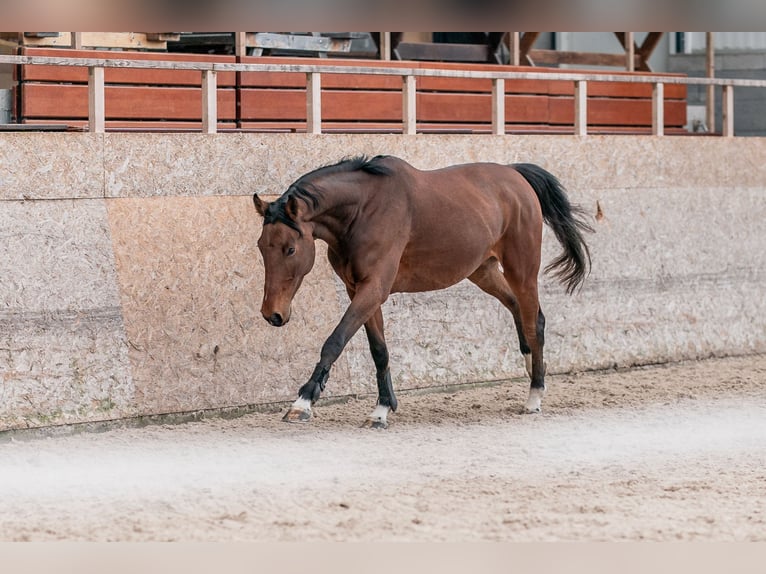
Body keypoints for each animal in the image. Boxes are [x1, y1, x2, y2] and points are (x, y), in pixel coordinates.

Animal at [252, 155, 592, 430]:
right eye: (261, 246)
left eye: (290, 248)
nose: (273, 314)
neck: (364, 210)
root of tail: (515, 175)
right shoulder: (359, 290)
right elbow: (379, 351)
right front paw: (382, 410)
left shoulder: (373, 289)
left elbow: (335, 341)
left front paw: (303, 403)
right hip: (483, 271)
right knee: (518, 309)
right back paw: (532, 367)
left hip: (522, 270)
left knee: (535, 322)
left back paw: (535, 395)